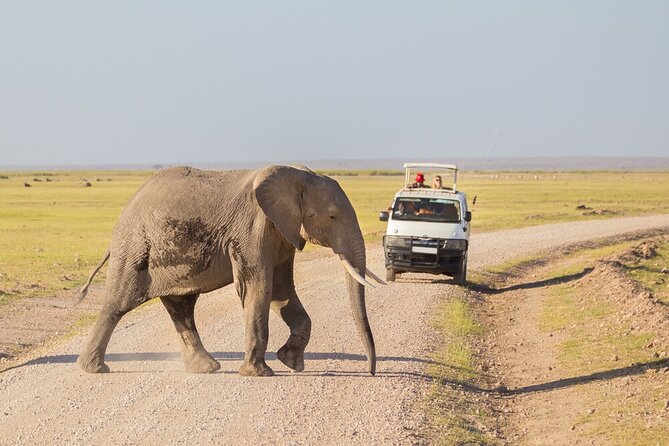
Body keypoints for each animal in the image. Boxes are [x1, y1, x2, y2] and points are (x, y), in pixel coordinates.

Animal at [76, 165, 382, 377]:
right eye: (332, 216)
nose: (371, 372)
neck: (299, 175)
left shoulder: (282, 234)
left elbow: (282, 292)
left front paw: (291, 362)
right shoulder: (252, 230)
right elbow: (259, 289)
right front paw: (259, 374)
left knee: (181, 307)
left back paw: (206, 368)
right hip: (136, 246)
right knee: (118, 304)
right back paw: (93, 369)